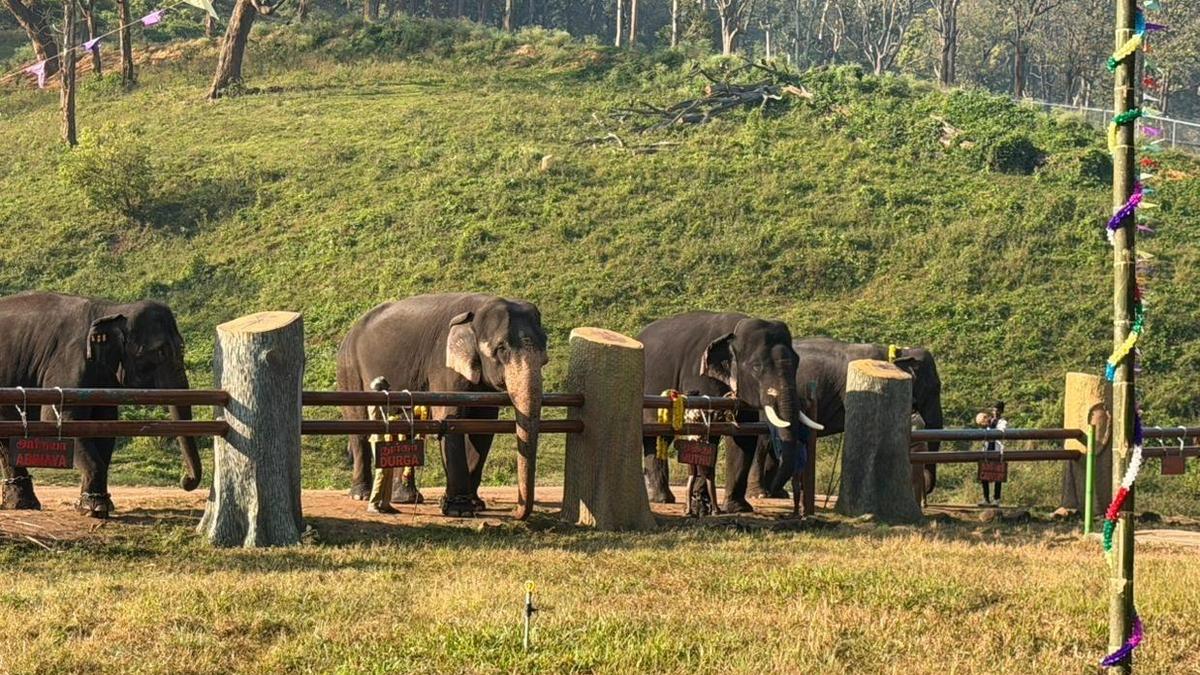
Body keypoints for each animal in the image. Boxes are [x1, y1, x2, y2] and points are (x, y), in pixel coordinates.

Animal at [0, 292, 202, 517]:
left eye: (181, 348)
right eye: (159, 352)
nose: (185, 480)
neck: (112, 310)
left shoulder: (103, 377)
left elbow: (104, 425)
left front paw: (94, 504)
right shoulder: (69, 361)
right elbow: (60, 420)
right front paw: (95, 508)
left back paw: (22, 504)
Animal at [336, 293, 547, 519]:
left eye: (544, 355)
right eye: (501, 348)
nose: (516, 512)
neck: (478, 310)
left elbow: (482, 427)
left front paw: (475, 505)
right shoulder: (442, 364)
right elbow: (449, 418)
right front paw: (459, 510)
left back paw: (406, 498)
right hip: (348, 369)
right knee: (359, 427)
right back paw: (361, 494)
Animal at [638, 312, 824, 514]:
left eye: (797, 363)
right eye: (756, 367)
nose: (770, 493)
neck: (735, 330)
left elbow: (744, 437)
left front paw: (739, 508)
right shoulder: (699, 374)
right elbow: (707, 430)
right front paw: (702, 505)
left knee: (659, 438)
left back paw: (662, 497)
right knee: (656, 435)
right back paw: (663, 499)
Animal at [747, 338, 944, 499]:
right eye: (935, 387)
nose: (926, 489)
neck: (897, 353)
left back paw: (777, 493)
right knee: (765, 438)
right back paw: (760, 493)